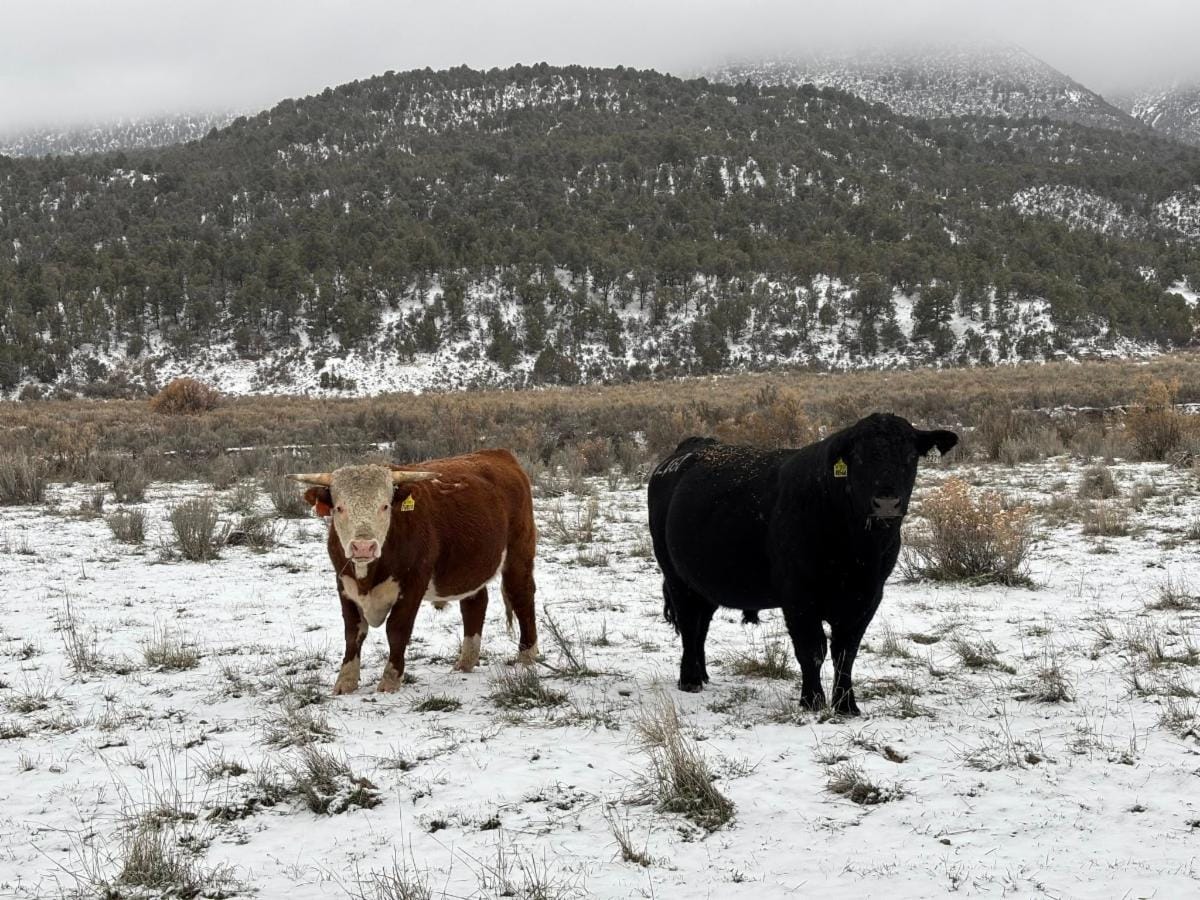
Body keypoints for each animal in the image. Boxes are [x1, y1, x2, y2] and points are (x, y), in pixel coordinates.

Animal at [290, 449, 538, 695]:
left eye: (385, 506)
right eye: (339, 508)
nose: (363, 547)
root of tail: (498, 454)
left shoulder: (413, 583)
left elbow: (397, 629)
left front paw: (390, 680)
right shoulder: (344, 584)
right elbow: (353, 632)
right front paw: (345, 681)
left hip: (519, 556)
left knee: (522, 597)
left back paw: (526, 655)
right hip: (471, 566)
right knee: (475, 605)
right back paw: (466, 662)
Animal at [647, 413, 958, 715]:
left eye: (911, 456)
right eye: (858, 457)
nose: (887, 503)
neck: (858, 550)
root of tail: (690, 447)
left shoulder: (868, 597)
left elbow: (846, 652)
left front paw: (846, 705)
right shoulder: (798, 596)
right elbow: (812, 650)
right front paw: (812, 701)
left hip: (703, 580)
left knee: (701, 626)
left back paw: (702, 674)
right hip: (676, 576)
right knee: (689, 624)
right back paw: (690, 679)